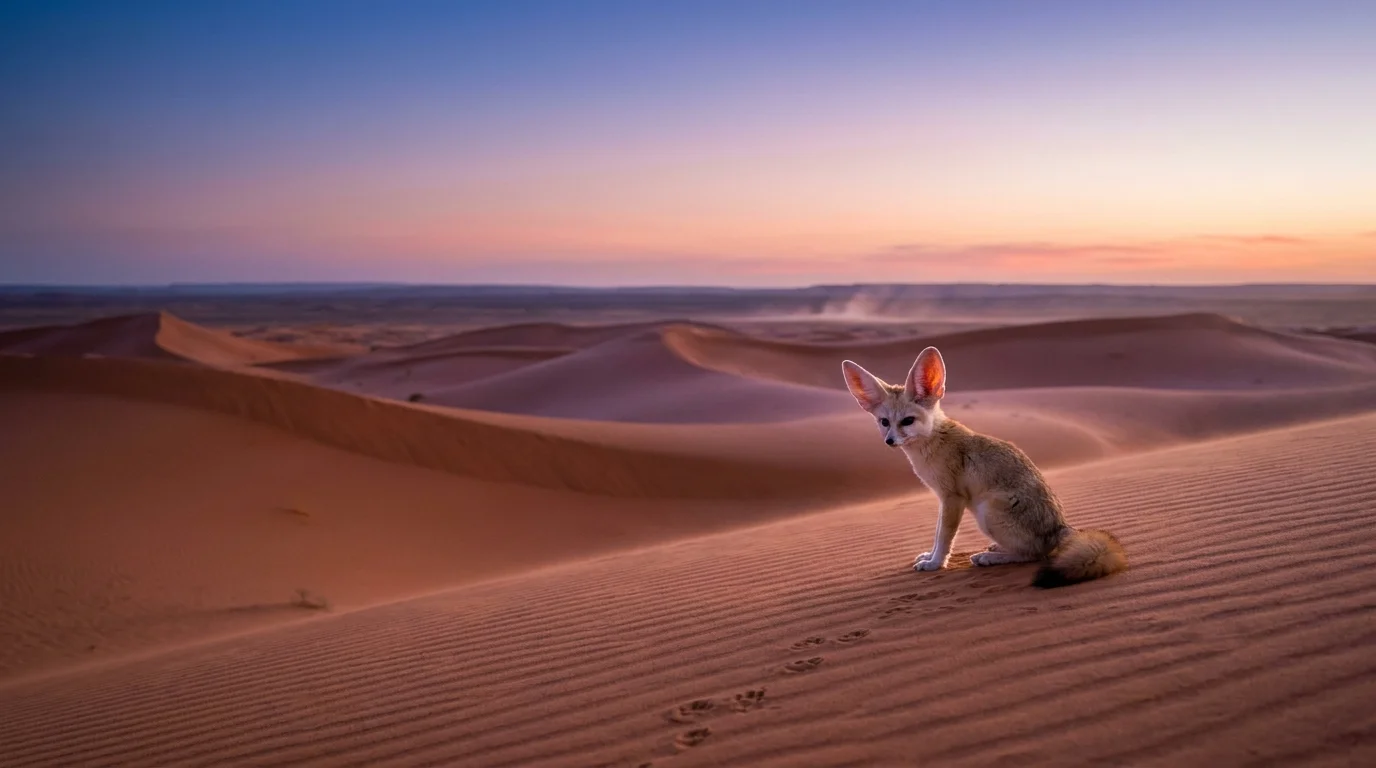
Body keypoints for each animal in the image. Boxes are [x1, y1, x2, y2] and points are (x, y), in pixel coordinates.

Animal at [842, 346, 1126, 588]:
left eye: (908, 421)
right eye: (884, 422)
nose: (889, 441)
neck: (934, 442)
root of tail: (1061, 528)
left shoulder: (952, 498)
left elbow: (944, 537)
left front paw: (935, 563)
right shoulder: (944, 499)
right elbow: (937, 534)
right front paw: (930, 556)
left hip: (985, 510)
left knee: (1034, 554)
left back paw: (988, 558)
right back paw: (996, 549)